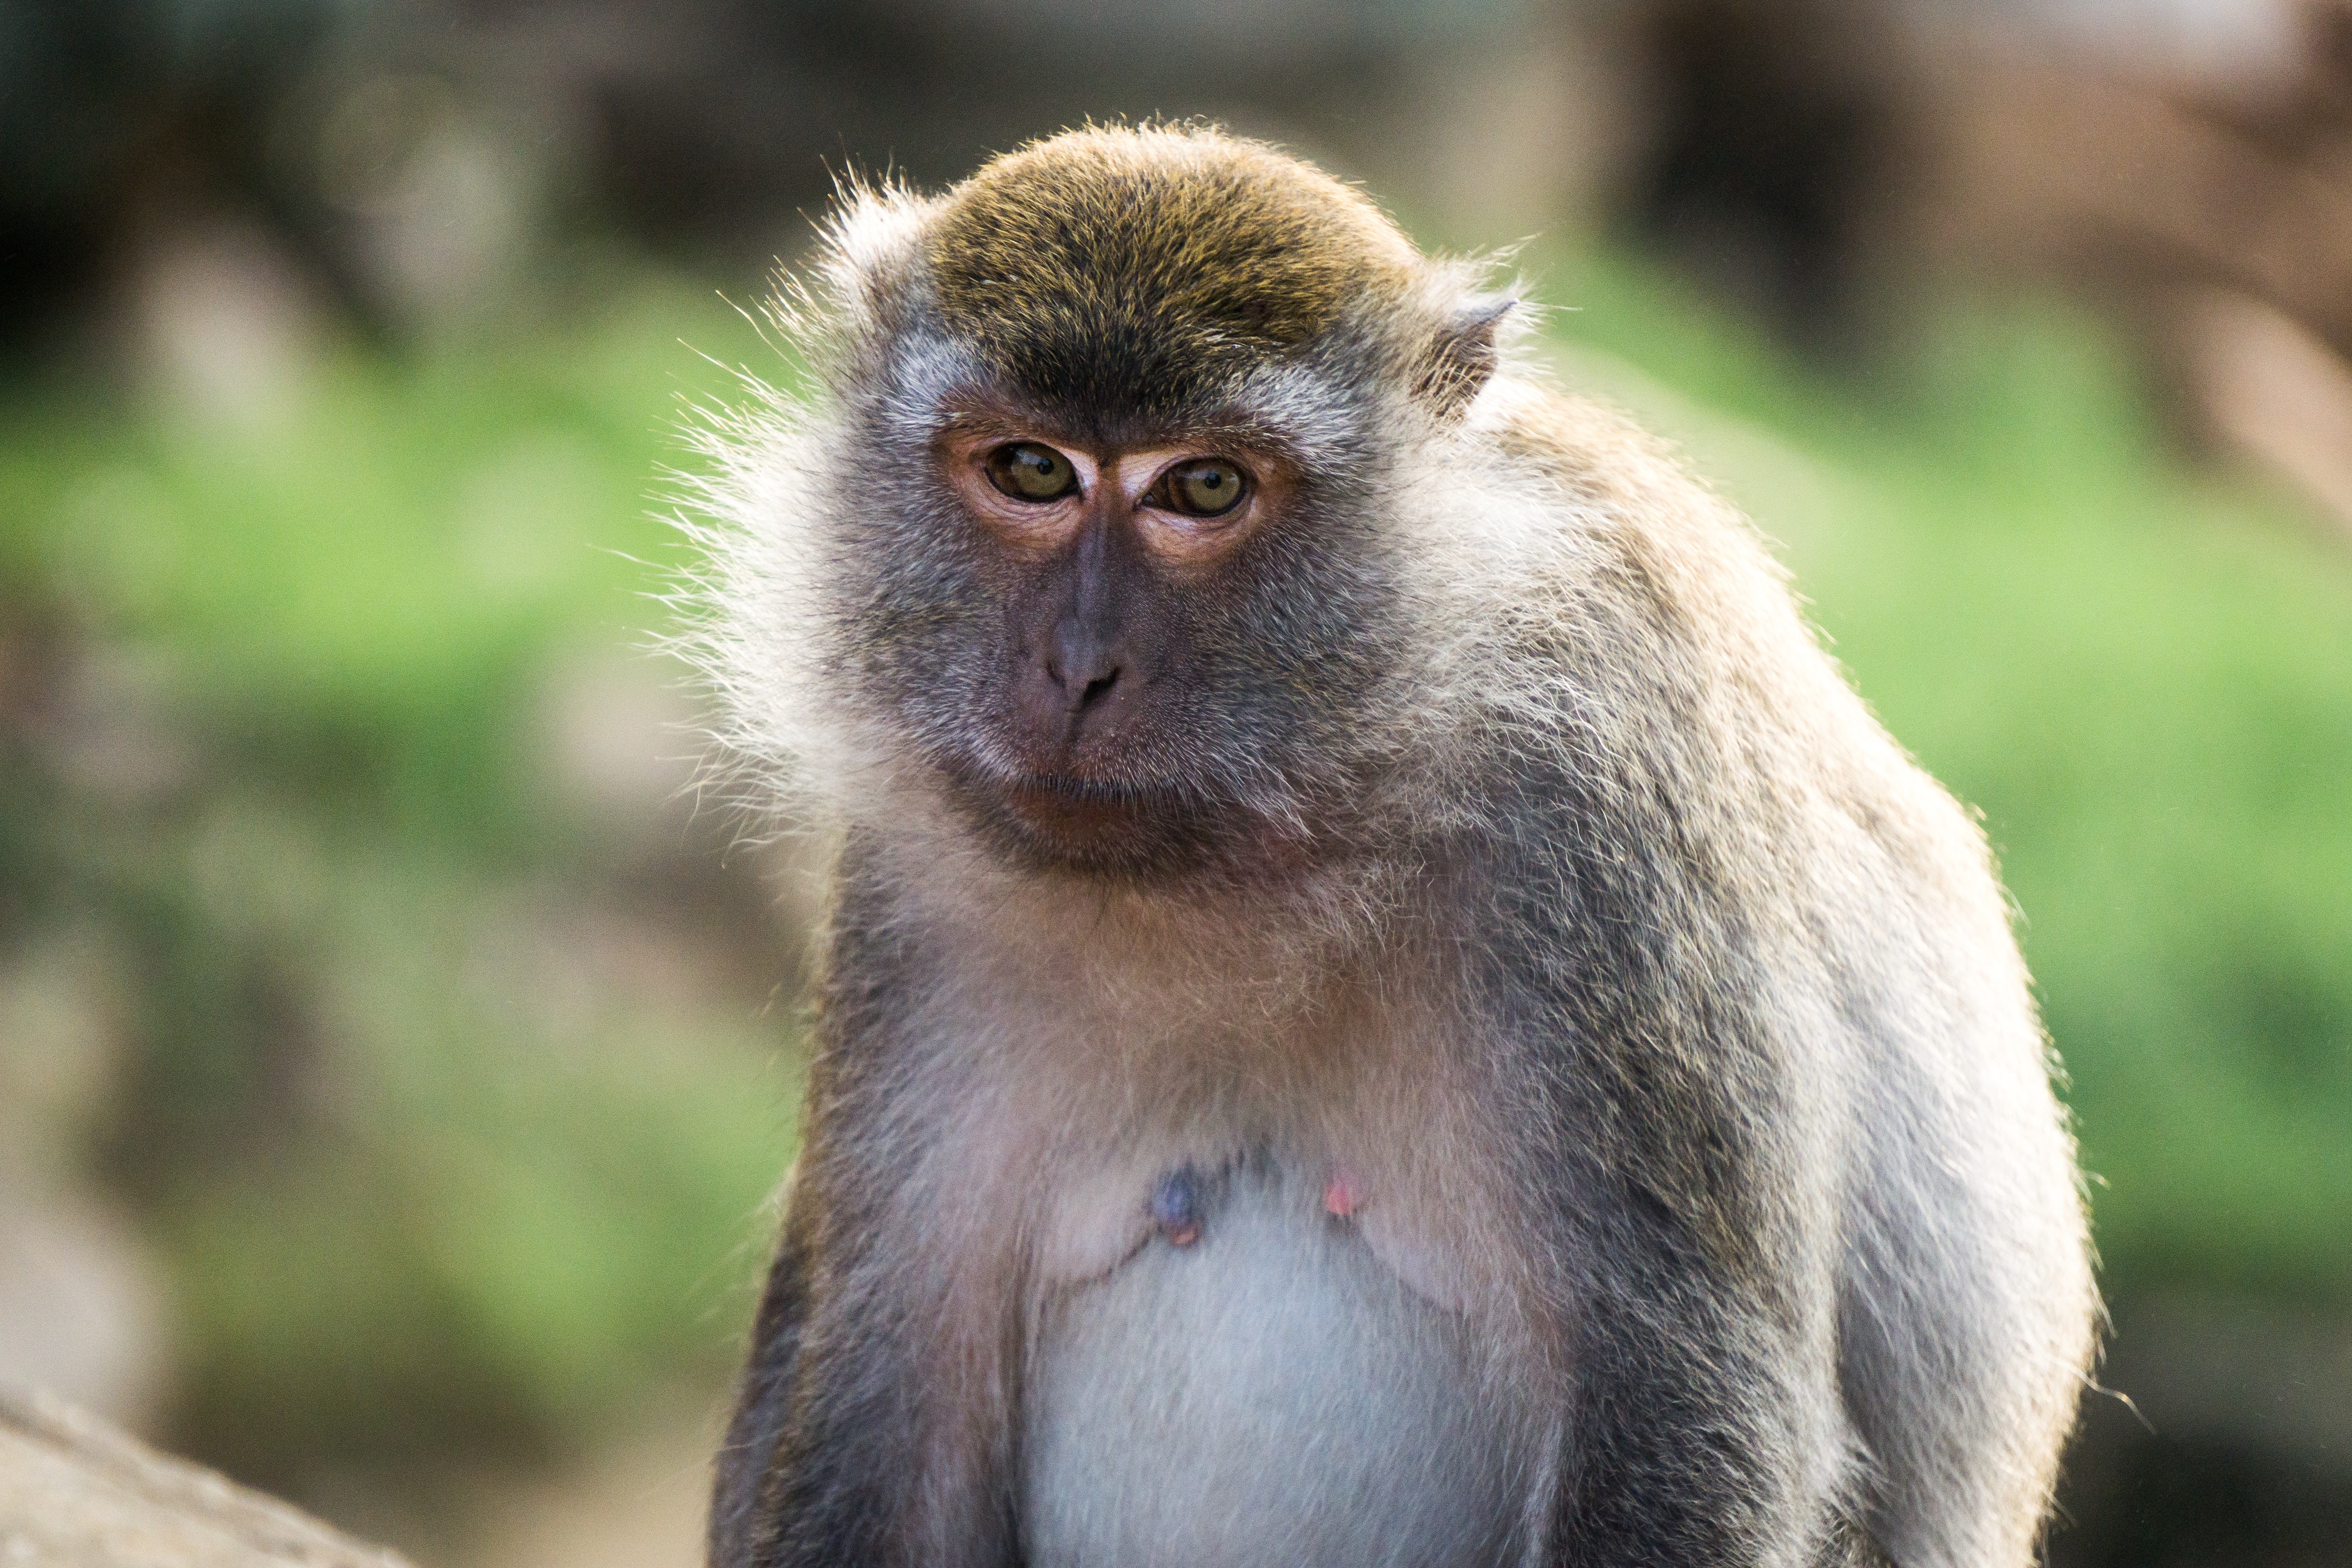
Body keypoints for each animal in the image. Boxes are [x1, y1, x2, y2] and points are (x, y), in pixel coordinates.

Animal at [682, 125, 2098, 1568]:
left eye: (1204, 487)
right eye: (1031, 470)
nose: (1077, 667)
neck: (1277, 852)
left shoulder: (1609, 805)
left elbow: (1695, 1403)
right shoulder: (914, 880)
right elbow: (882, 1410)